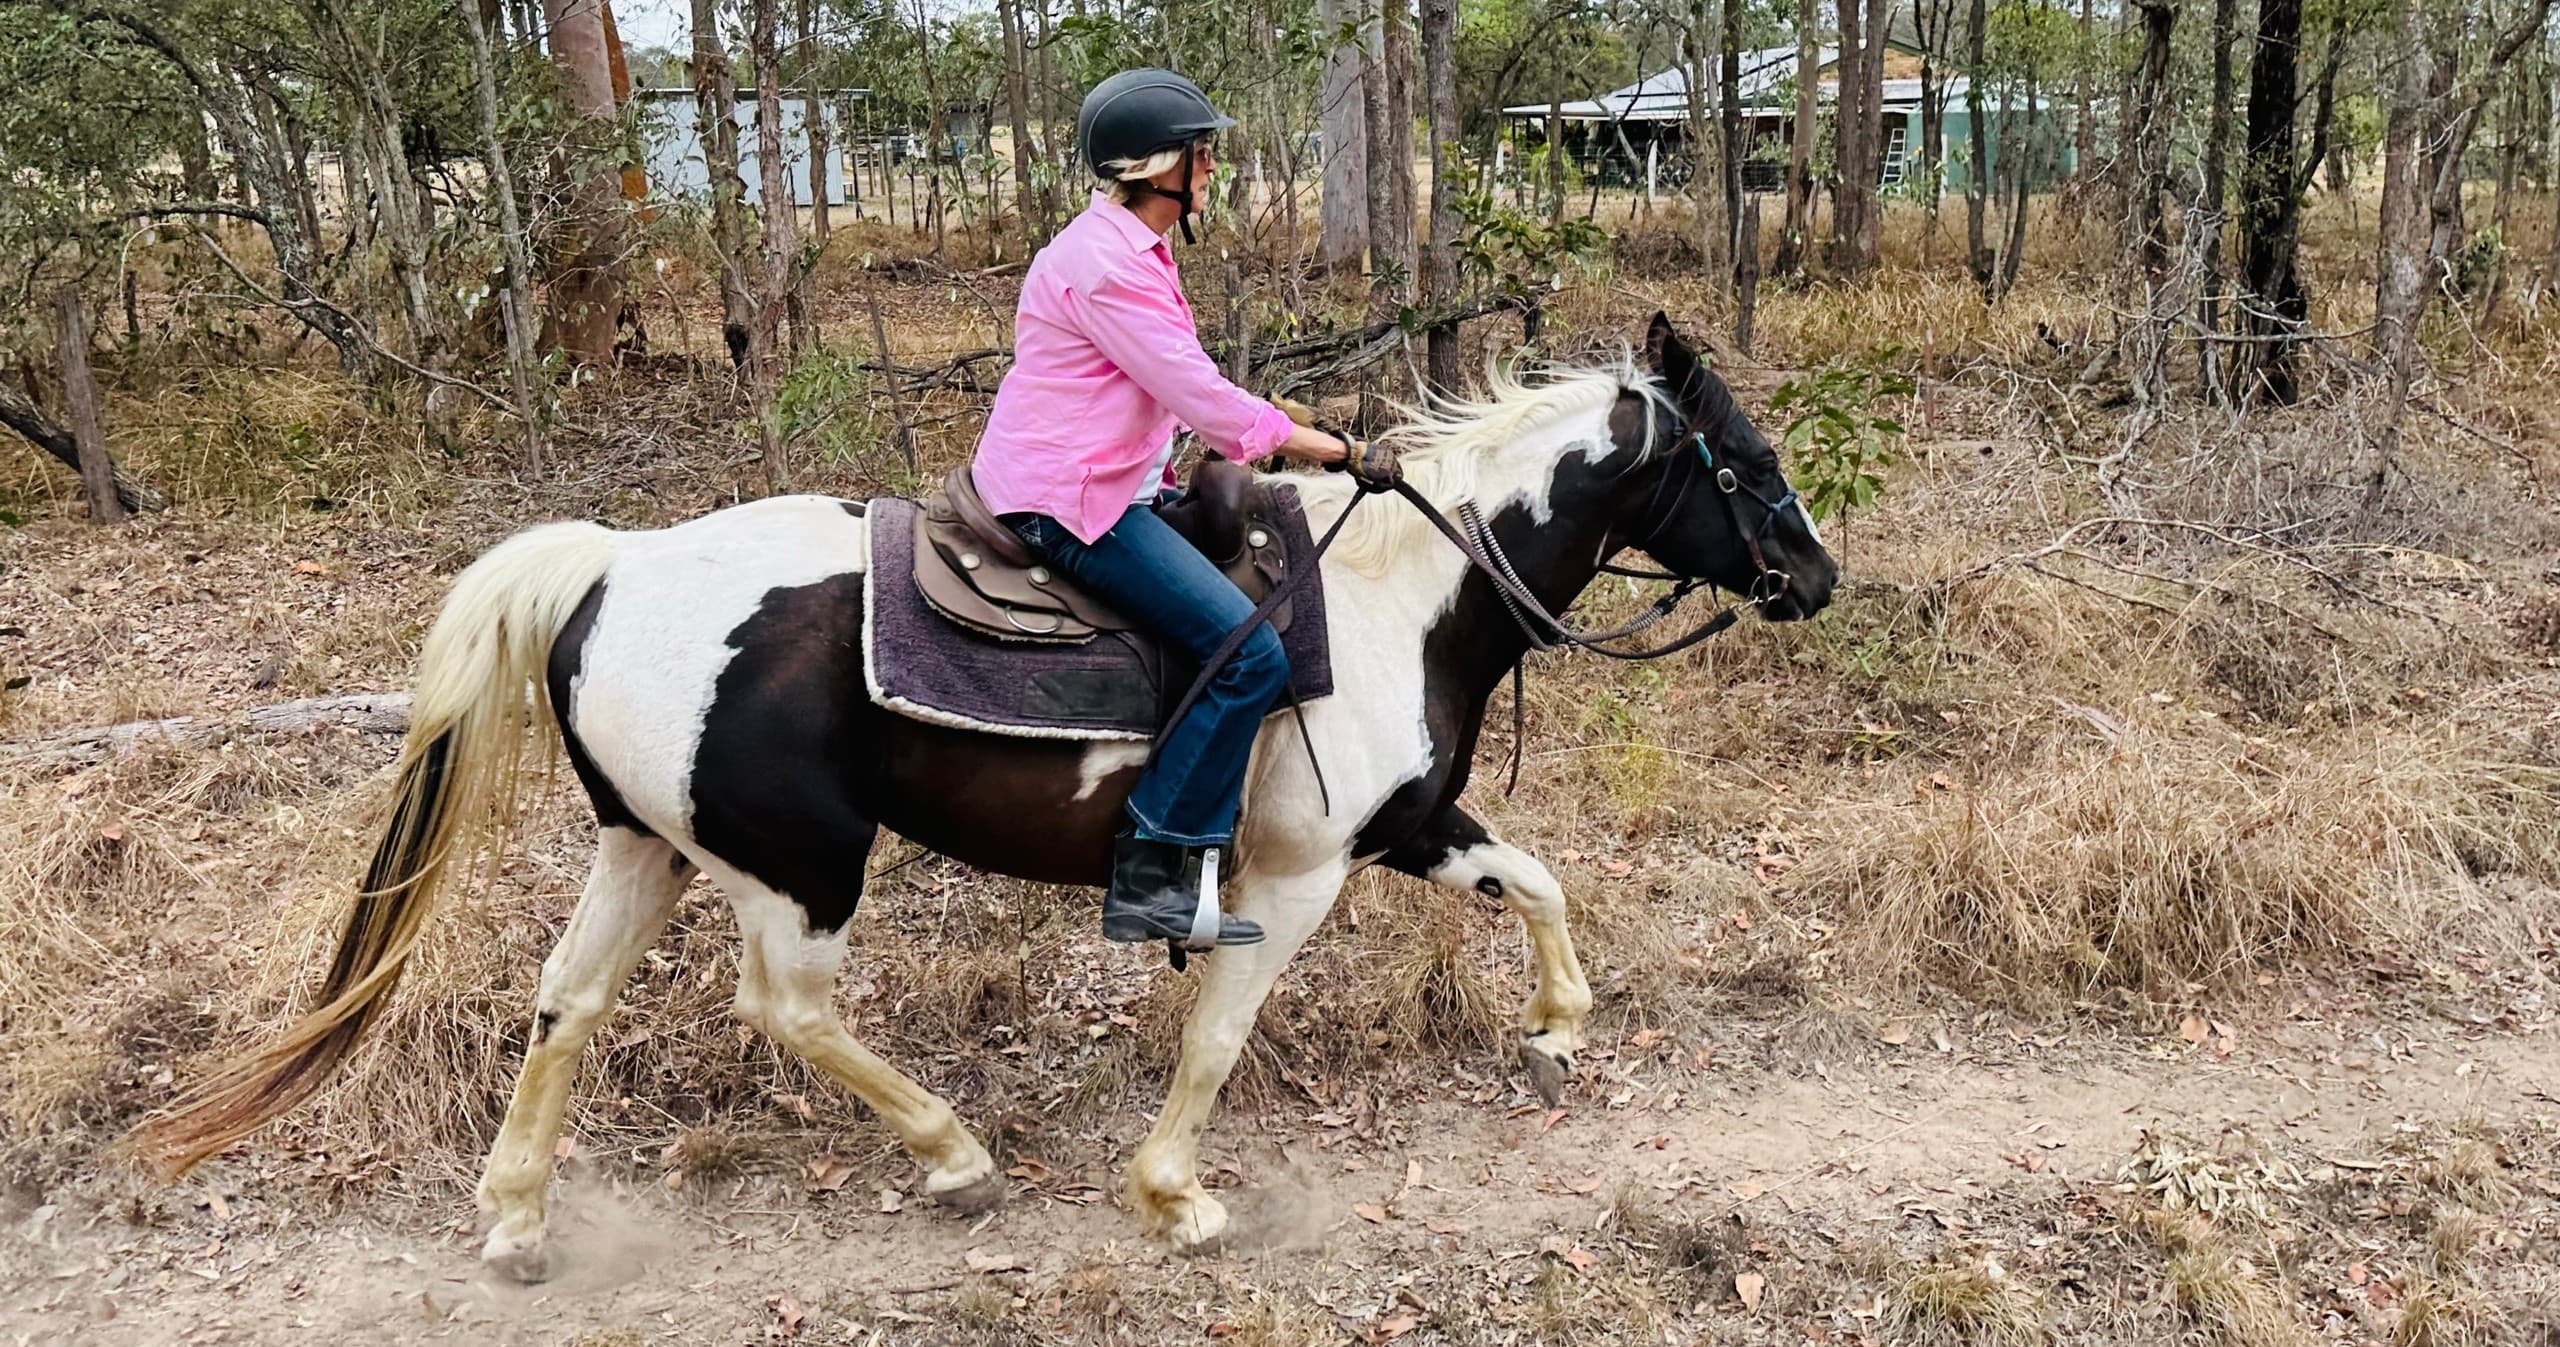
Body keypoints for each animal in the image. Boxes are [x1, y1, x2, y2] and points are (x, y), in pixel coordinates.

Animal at [132, 313, 1837, 1278]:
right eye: (1745, 460)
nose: (1815, 576)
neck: (1391, 598)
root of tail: (610, 565)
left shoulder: (1410, 826)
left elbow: (1536, 879)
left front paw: (1557, 1024)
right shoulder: (1288, 879)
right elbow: (1218, 1034)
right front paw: (1175, 1197)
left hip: (647, 846)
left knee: (569, 998)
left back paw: (515, 1213)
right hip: (800, 863)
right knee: (785, 1008)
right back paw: (951, 1152)